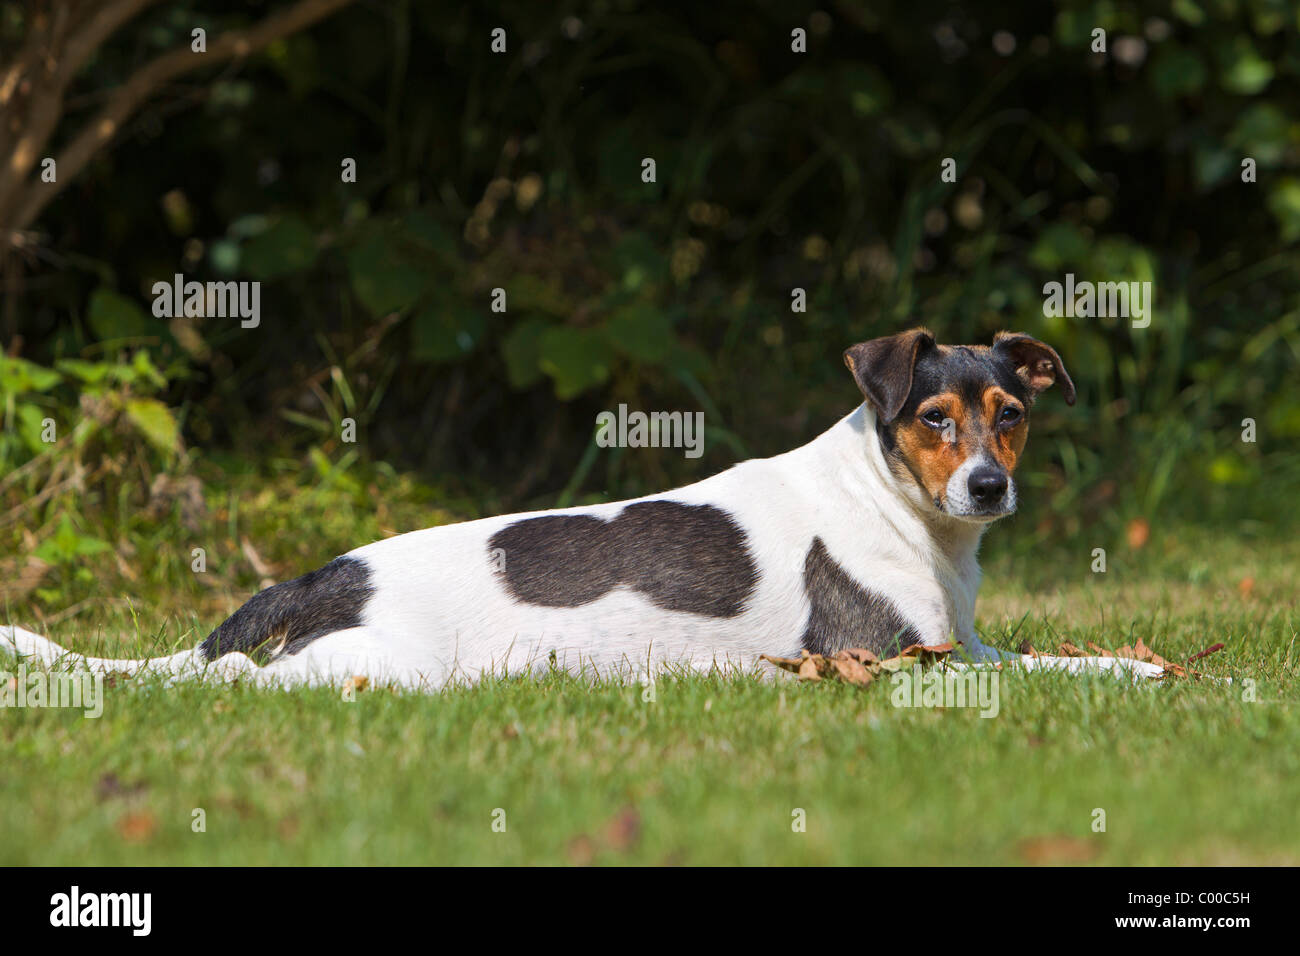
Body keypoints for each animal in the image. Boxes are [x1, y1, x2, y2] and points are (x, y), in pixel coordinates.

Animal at [0, 329, 1164, 686]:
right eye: (931, 418)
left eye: (1011, 415)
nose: (989, 486)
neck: (904, 509)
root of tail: (317, 578)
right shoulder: (904, 662)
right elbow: (1055, 672)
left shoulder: (966, 644)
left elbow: (1060, 654)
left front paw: (1142, 662)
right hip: (376, 668)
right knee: (237, 680)